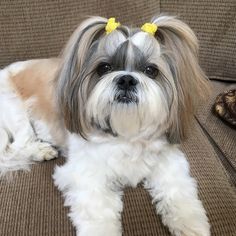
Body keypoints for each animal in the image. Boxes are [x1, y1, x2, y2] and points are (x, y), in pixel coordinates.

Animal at [0, 15, 210, 236]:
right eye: (105, 68)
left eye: (150, 70)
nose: (126, 79)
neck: (126, 133)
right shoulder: (85, 174)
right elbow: (97, 210)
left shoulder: (168, 160)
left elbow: (178, 191)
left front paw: (190, 223)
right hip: (14, 109)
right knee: (18, 145)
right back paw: (41, 150)